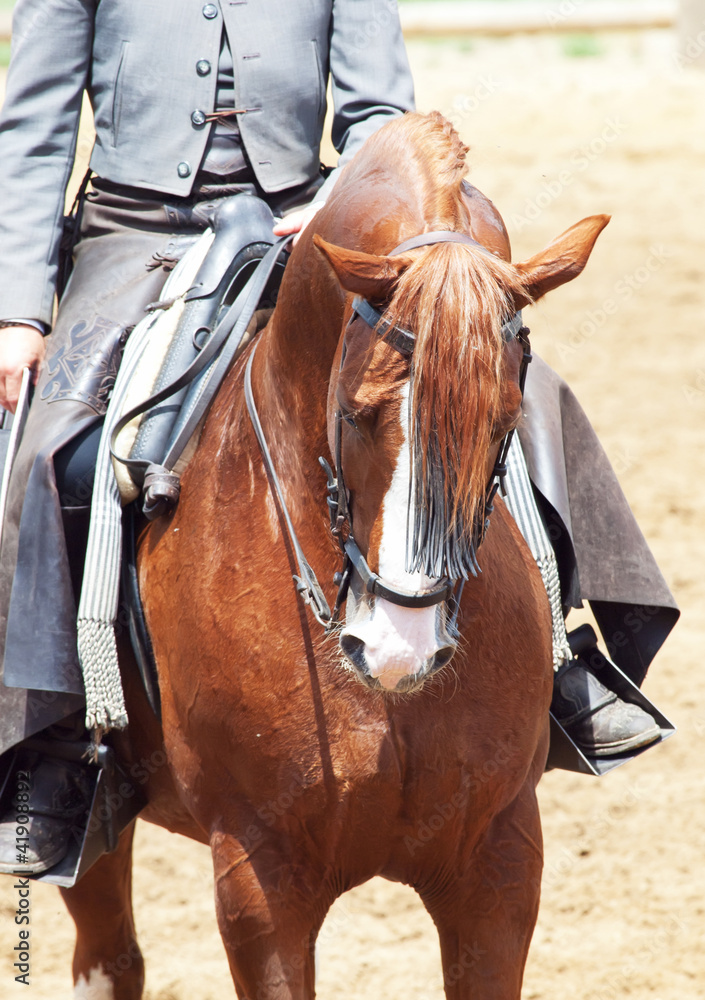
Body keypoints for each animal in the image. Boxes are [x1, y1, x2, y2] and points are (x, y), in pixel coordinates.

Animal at [60, 111, 608, 1000]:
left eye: (503, 421)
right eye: (353, 415)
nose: (396, 651)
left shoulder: (498, 861)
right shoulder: (260, 877)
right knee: (108, 956)